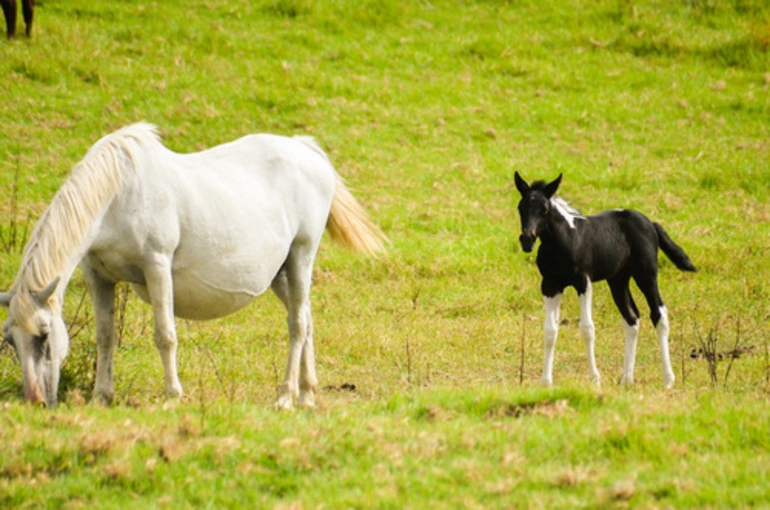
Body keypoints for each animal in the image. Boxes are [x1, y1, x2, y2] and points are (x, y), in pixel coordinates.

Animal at [0, 122, 384, 406]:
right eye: (10, 340)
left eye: (44, 334)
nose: (35, 401)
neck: (117, 195)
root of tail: (306, 150)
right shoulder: (98, 276)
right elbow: (105, 337)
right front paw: (101, 397)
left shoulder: (157, 265)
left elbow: (165, 334)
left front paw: (173, 396)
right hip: (281, 272)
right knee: (306, 318)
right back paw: (307, 394)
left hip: (302, 255)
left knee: (297, 325)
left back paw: (286, 397)